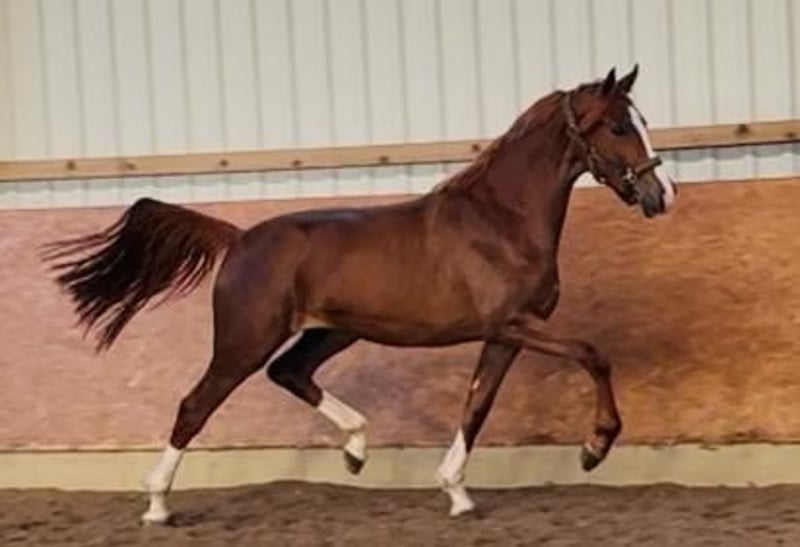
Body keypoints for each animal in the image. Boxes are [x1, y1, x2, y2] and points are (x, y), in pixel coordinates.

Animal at [42, 65, 676, 523]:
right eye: (619, 127)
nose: (662, 193)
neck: (501, 222)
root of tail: (240, 237)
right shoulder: (514, 323)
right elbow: (594, 354)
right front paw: (594, 448)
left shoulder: (507, 334)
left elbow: (476, 406)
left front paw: (457, 494)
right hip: (246, 341)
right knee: (195, 405)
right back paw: (156, 506)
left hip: (331, 331)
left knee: (289, 373)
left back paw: (355, 449)